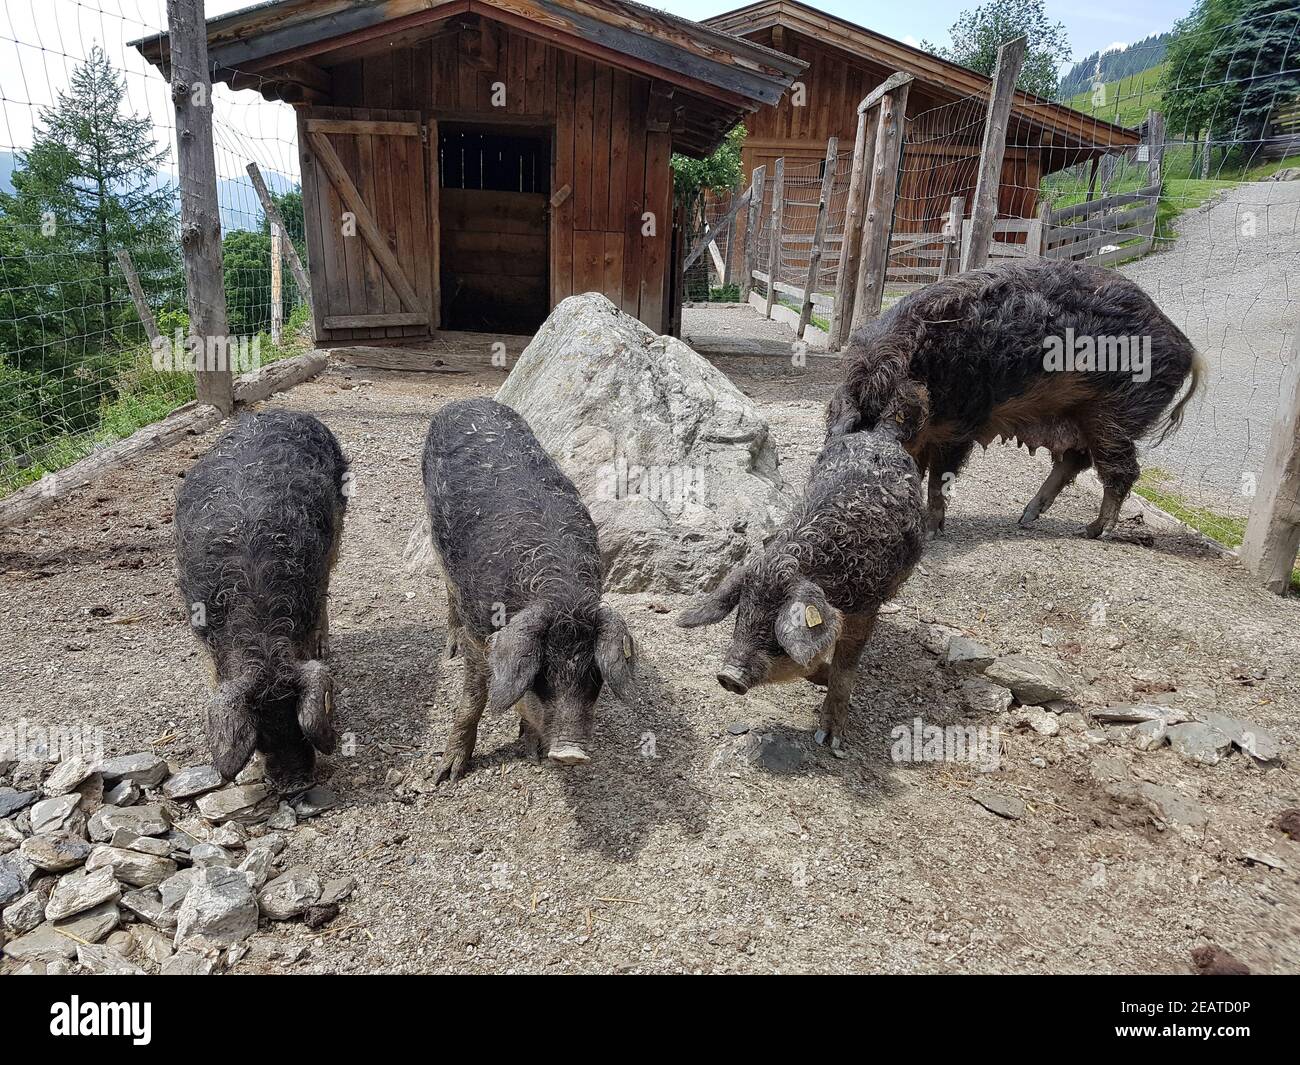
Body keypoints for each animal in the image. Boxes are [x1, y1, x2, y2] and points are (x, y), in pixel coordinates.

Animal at [421, 400, 634, 785]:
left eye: (594, 674)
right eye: (542, 674)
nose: (571, 754)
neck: (560, 595)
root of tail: (466, 401)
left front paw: (531, 749)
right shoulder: (479, 631)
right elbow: (474, 697)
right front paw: (446, 775)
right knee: (447, 590)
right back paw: (450, 651)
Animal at [681, 390, 925, 749]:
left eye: (774, 617)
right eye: (743, 611)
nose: (728, 676)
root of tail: (879, 432)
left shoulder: (866, 604)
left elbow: (845, 664)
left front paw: (829, 739)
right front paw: (820, 676)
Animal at [826, 258, 1201, 540]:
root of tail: (1186, 346)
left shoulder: (961, 423)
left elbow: (938, 479)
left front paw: (930, 532)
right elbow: (918, 471)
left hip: (1117, 414)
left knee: (1121, 471)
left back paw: (1091, 531)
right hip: (1081, 414)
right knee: (1077, 459)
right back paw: (1026, 518)